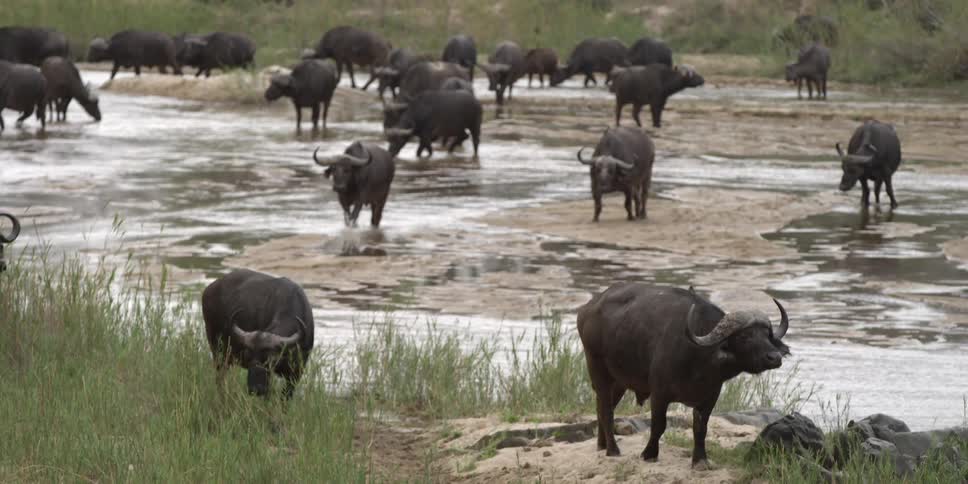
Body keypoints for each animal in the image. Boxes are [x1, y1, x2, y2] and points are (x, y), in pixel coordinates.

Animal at [202, 269, 315, 398]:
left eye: (270, 360)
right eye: (248, 357)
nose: (255, 389)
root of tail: (208, 290)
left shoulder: (296, 374)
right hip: (218, 351)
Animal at [578, 284, 791, 467]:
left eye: (767, 335)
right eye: (745, 336)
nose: (775, 357)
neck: (700, 362)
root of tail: (586, 310)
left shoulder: (709, 397)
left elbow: (701, 428)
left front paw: (700, 460)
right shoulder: (659, 394)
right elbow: (659, 425)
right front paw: (649, 453)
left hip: (620, 381)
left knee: (601, 407)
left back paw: (602, 445)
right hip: (597, 369)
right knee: (606, 410)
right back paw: (613, 450)